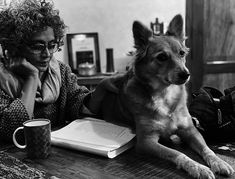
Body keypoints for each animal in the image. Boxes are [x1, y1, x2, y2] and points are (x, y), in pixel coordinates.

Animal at [89, 14, 234, 179]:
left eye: (182, 53)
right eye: (162, 57)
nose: (186, 74)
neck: (165, 94)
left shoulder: (190, 130)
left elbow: (207, 149)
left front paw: (219, 162)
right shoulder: (146, 141)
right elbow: (176, 153)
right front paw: (197, 167)